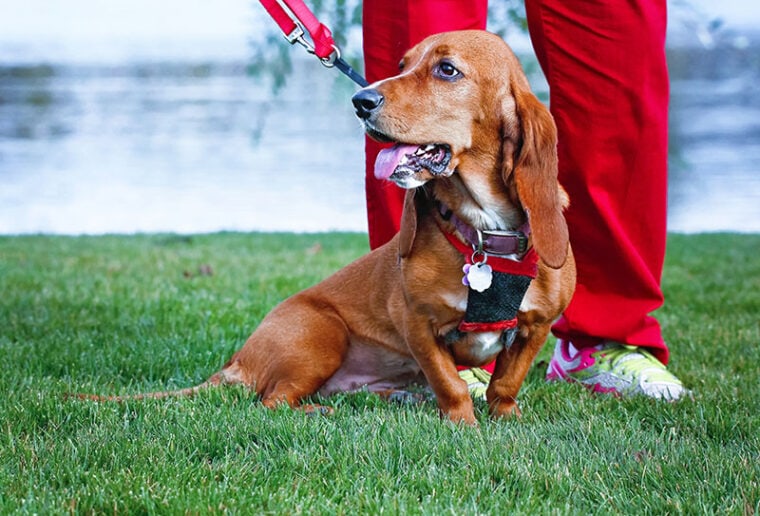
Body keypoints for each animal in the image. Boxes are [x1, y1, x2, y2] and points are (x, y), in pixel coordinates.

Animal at [80, 30, 572, 424]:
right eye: (401, 65)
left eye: (447, 70)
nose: (361, 101)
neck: (485, 233)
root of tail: (237, 360)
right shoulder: (416, 323)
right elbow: (450, 385)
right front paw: (462, 423)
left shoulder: (537, 327)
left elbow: (504, 384)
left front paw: (506, 417)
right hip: (321, 336)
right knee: (272, 402)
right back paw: (321, 411)